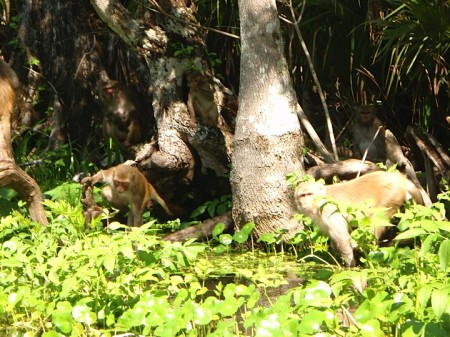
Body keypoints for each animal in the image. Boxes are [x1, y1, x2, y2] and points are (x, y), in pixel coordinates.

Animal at [294, 171, 424, 266]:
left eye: (309, 194)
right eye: (301, 195)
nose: (304, 202)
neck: (319, 200)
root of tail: (398, 177)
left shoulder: (327, 209)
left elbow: (341, 237)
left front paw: (349, 265)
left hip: (391, 195)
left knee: (376, 218)